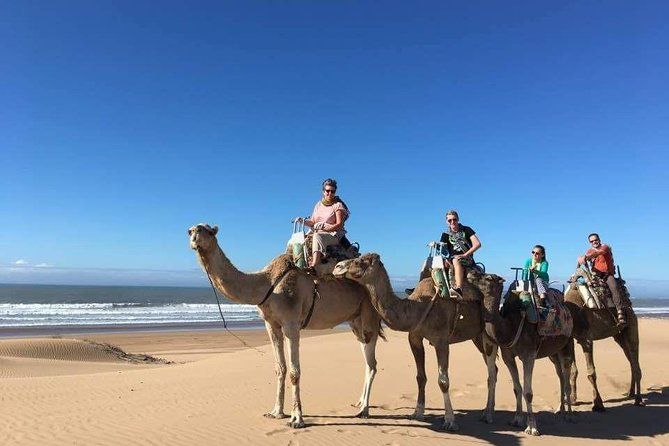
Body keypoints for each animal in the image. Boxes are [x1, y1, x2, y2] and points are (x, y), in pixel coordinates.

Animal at [188, 224, 384, 428]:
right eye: (191, 230)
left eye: (208, 231)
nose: (194, 236)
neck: (266, 284)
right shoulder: (271, 324)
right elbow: (280, 368)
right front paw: (276, 412)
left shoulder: (291, 324)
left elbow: (294, 372)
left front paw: (297, 419)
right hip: (355, 321)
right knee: (366, 357)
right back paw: (360, 403)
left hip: (370, 314)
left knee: (372, 363)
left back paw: (364, 410)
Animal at [333, 253, 501, 431]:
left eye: (360, 261)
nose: (337, 267)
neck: (419, 307)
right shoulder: (414, 338)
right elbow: (420, 377)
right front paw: (417, 412)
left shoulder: (441, 341)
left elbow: (443, 381)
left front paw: (449, 420)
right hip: (476, 336)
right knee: (494, 369)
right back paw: (487, 411)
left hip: (488, 331)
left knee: (491, 371)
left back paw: (488, 415)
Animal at [482, 281, 578, 435]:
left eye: (489, 281)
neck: (511, 324)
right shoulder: (507, 356)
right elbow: (517, 388)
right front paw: (516, 420)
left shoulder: (529, 355)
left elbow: (528, 392)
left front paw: (532, 427)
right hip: (553, 353)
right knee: (560, 376)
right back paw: (560, 410)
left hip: (567, 345)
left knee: (567, 378)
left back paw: (569, 416)